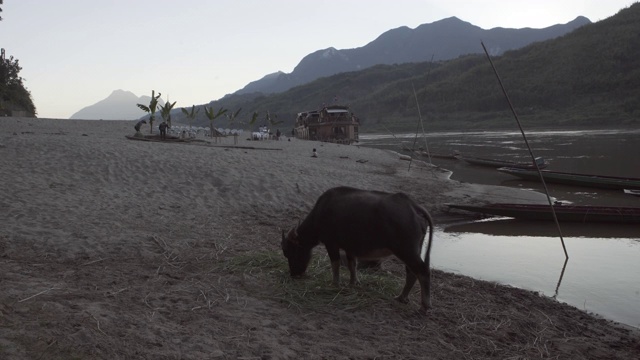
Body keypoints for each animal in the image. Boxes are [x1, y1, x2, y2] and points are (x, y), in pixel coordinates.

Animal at [282, 186, 436, 310]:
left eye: (292, 252)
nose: (294, 274)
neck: (321, 212)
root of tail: (413, 206)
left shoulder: (331, 244)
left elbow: (335, 263)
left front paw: (335, 283)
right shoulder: (350, 248)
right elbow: (352, 265)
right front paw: (353, 283)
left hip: (406, 251)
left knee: (422, 271)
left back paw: (425, 305)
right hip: (412, 250)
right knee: (412, 272)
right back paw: (401, 297)